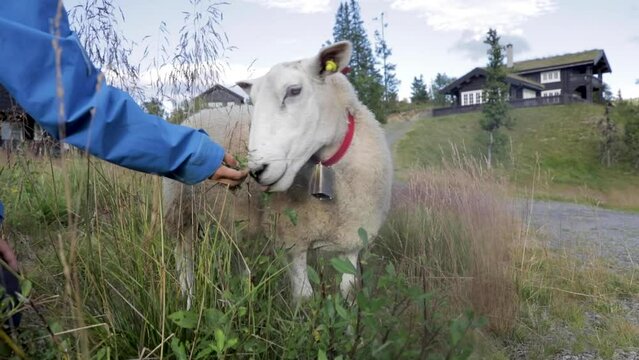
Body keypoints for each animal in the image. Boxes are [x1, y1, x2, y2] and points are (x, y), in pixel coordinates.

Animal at [164, 42, 396, 306]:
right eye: (253, 101)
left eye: (294, 91)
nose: (256, 170)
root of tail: (197, 114)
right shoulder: (292, 239)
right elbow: (305, 297)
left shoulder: (353, 240)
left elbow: (348, 293)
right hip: (181, 212)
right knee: (184, 260)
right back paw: (189, 298)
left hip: (233, 218)